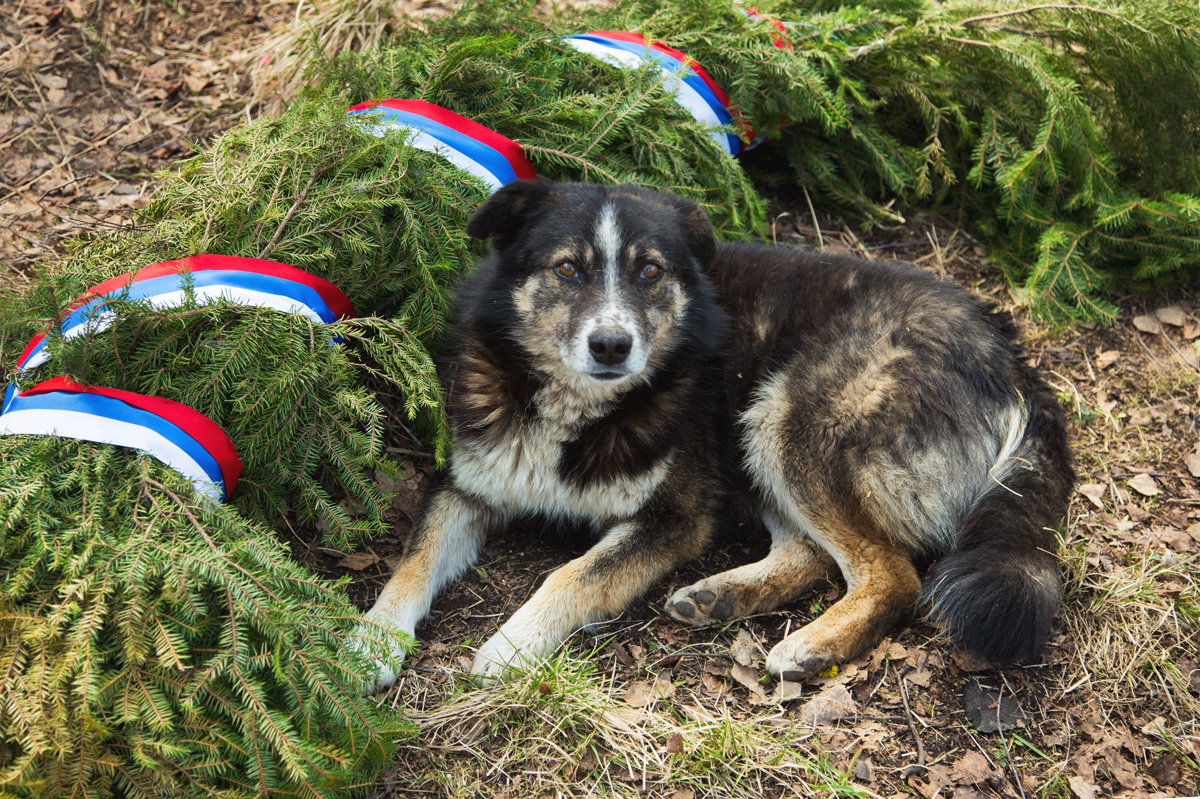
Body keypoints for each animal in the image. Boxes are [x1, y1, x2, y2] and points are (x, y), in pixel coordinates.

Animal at [350, 178, 1075, 686]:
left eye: (650, 271)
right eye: (567, 268)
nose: (612, 345)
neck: (581, 407)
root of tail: (1012, 359)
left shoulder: (675, 516)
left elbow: (575, 573)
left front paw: (513, 642)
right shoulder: (466, 486)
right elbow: (412, 561)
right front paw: (368, 642)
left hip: (790, 412)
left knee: (892, 573)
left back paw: (812, 645)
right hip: (757, 439)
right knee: (813, 553)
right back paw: (720, 597)